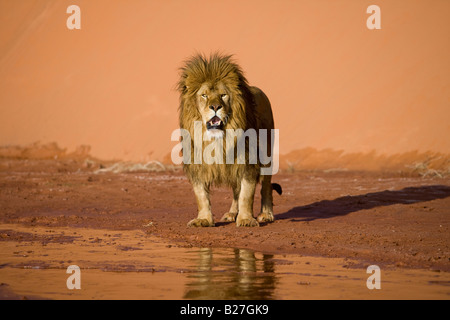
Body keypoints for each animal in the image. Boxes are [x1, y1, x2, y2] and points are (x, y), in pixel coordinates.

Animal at [177, 53, 280, 228]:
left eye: (223, 95)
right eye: (204, 95)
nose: (215, 107)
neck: (218, 139)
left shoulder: (248, 161)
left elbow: (247, 194)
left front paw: (246, 219)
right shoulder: (197, 163)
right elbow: (201, 195)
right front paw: (204, 219)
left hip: (266, 155)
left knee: (265, 186)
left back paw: (266, 214)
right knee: (235, 190)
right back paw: (232, 214)